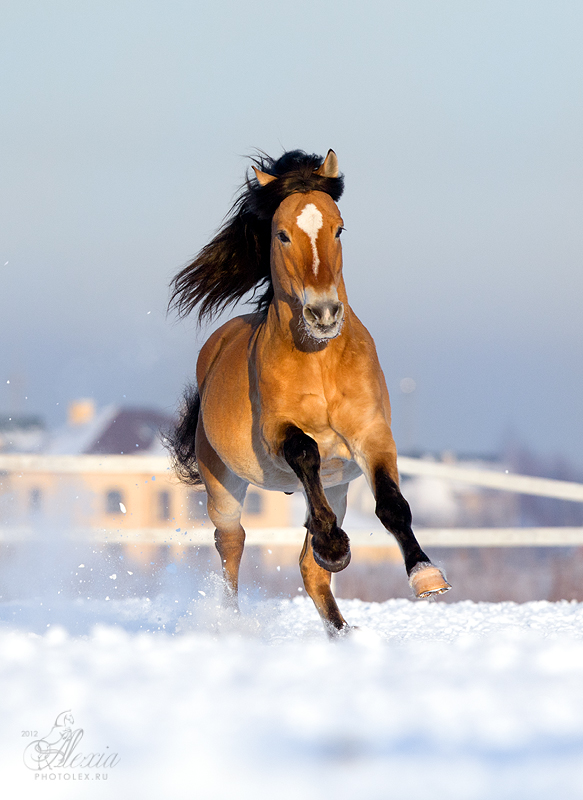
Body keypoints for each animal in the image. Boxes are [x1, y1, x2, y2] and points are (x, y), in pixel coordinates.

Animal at [169, 148, 452, 636]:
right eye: (282, 234)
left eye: (339, 228)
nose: (324, 313)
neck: (320, 363)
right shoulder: (276, 432)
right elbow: (305, 451)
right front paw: (334, 545)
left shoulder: (372, 435)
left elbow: (393, 505)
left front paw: (426, 575)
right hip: (222, 483)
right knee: (231, 543)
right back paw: (233, 622)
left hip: (338, 488)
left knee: (308, 568)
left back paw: (342, 632)